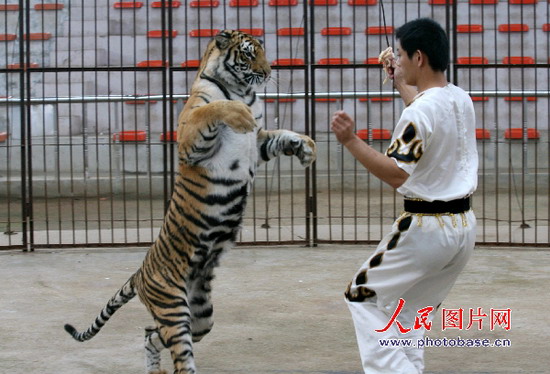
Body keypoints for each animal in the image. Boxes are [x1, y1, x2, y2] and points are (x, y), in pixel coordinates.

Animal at [63, 30, 316, 374]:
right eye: (249, 55)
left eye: (263, 53)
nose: (267, 73)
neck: (243, 91)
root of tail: (140, 272)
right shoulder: (190, 142)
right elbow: (212, 109)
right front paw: (236, 112)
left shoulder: (260, 141)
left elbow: (281, 135)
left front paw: (306, 147)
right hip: (173, 308)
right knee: (179, 356)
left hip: (200, 316)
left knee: (150, 333)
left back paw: (154, 369)